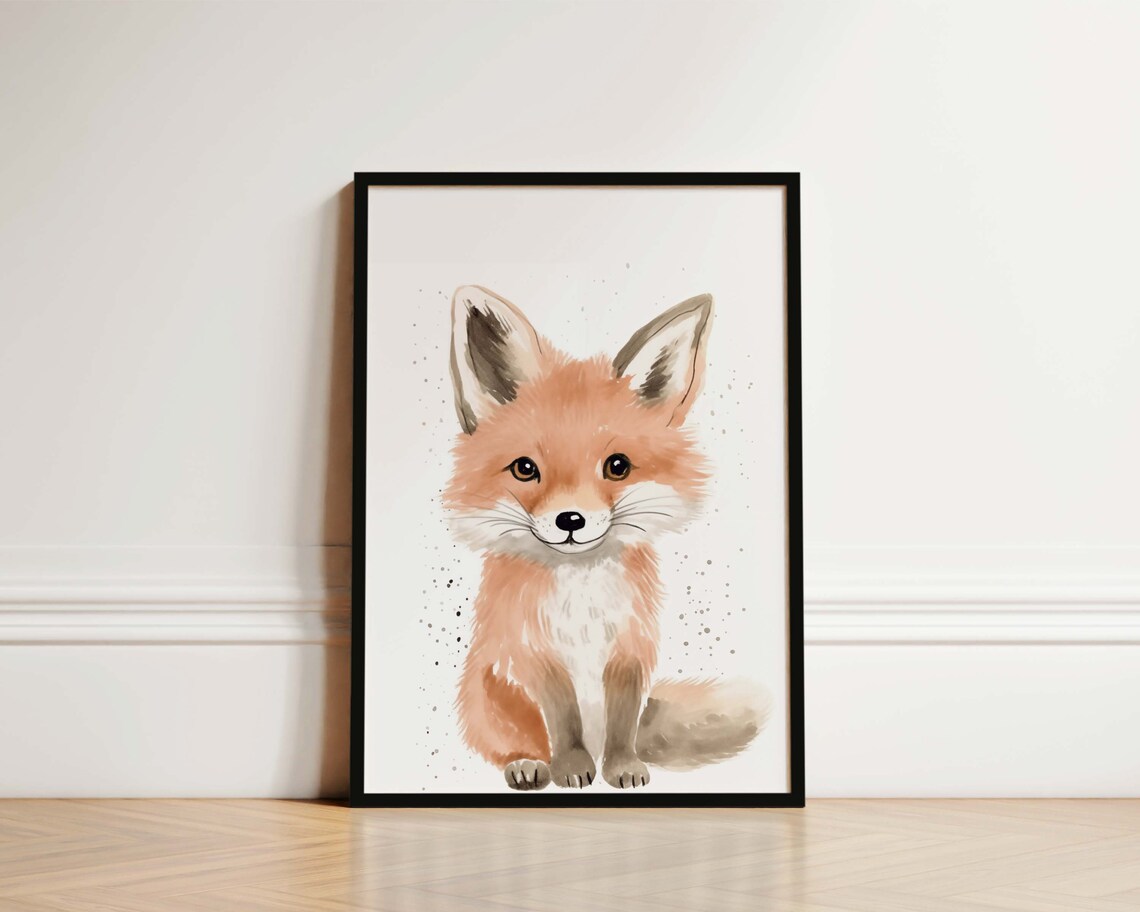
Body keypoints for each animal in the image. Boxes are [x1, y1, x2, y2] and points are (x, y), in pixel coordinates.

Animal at [443, 285, 767, 791]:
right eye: (525, 468)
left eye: (617, 466)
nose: (570, 520)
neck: (582, 597)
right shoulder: (534, 653)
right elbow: (562, 720)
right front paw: (572, 766)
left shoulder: (630, 650)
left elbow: (621, 721)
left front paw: (622, 767)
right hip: (486, 694)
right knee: (511, 740)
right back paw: (528, 764)